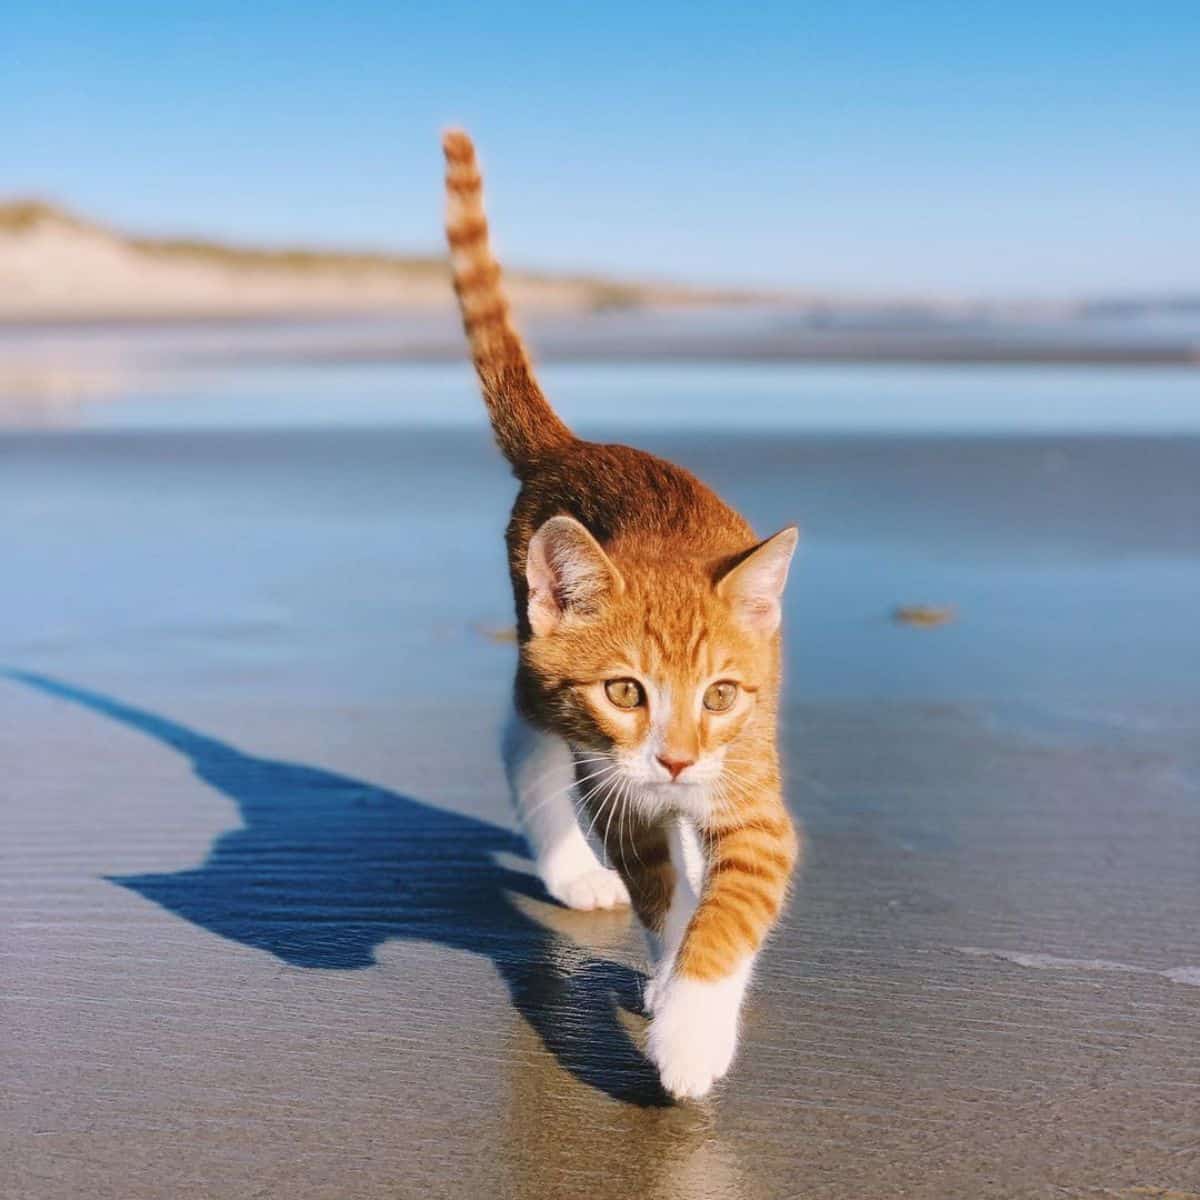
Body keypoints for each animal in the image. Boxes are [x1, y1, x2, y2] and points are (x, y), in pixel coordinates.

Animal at [446, 131, 801, 1099]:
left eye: (720, 695)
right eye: (626, 691)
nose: (675, 759)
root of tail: (575, 447)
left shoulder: (753, 795)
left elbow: (733, 899)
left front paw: (693, 1022)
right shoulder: (617, 785)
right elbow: (662, 895)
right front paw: (677, 994)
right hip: (540, 665)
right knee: (523, 732)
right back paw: (573, 870)